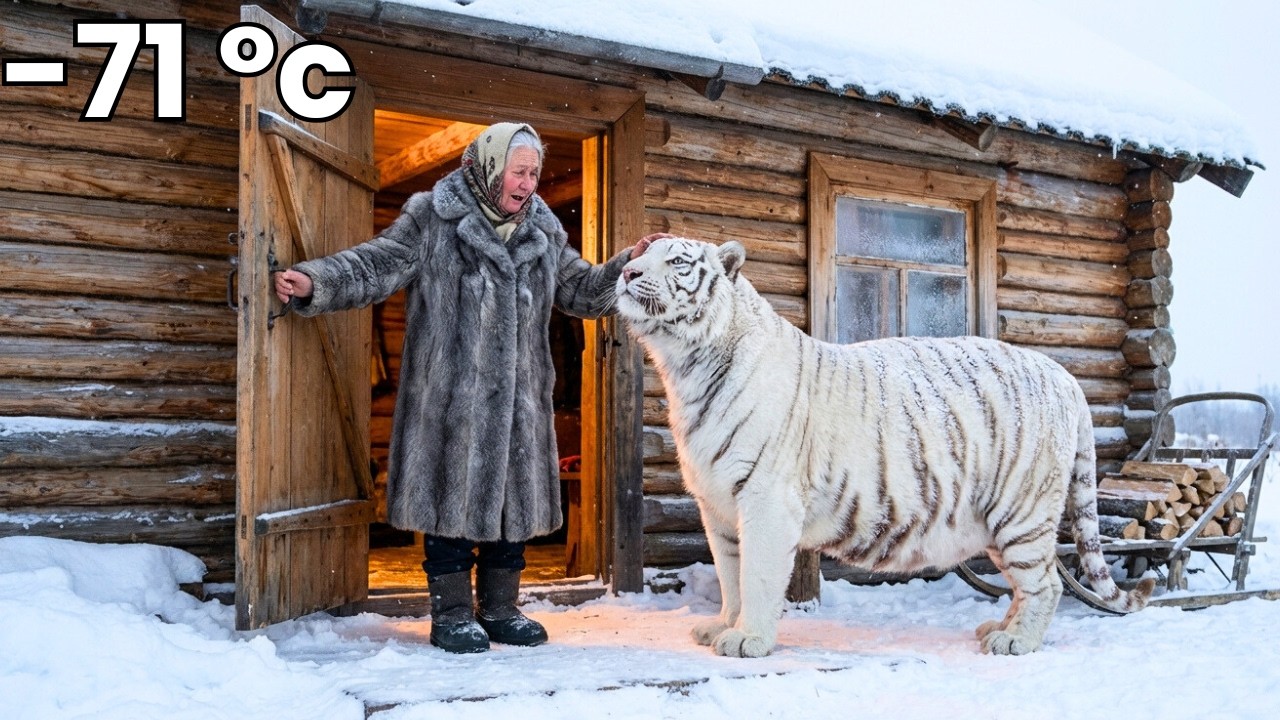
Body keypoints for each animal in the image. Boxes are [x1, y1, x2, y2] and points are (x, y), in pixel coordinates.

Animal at [614, 237, 1154, 658]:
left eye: (677, 261)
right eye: (641, 253)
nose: (626, 271)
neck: (687, 369)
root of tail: (1063, 375)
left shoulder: (766, 497)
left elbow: (758, 574)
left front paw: (749, 640)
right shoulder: (717, 503)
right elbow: (730, 573)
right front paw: (723, 626)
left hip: (1022, 508)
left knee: (1047, 582)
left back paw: (1015, 641)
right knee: (1028, 583)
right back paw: (998, 628)